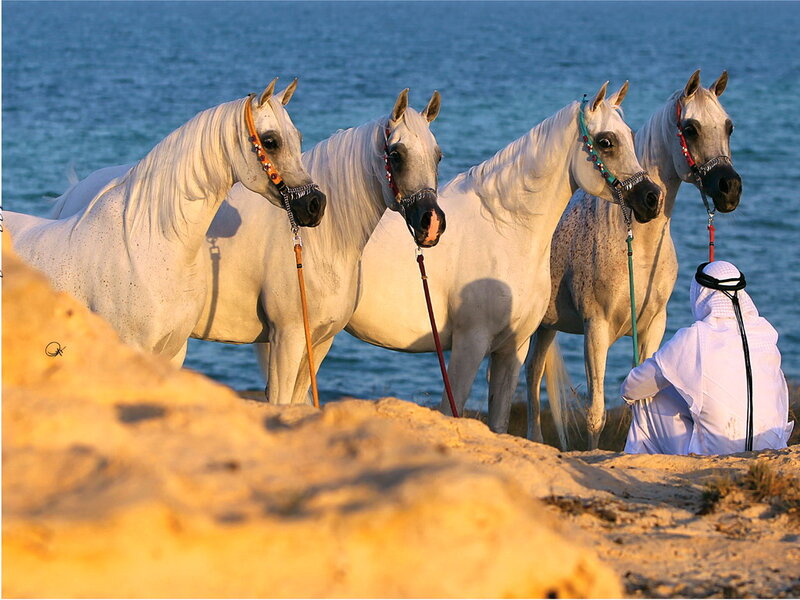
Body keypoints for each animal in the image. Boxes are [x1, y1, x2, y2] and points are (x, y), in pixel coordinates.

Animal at [346, 82, 662, 432]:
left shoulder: (513, 348)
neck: (504, 228)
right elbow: (452, 413)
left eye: (630, 135)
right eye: (606, 141)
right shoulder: (469, 345)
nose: (652, 198)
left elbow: (498, 424)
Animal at [525, 70, 742, 449]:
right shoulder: (595, 330)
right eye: (690, 129)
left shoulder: (653, 327)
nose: (729, 187)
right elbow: (595, 415)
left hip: (547, 327)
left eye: (728, 126)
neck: (635, 245)